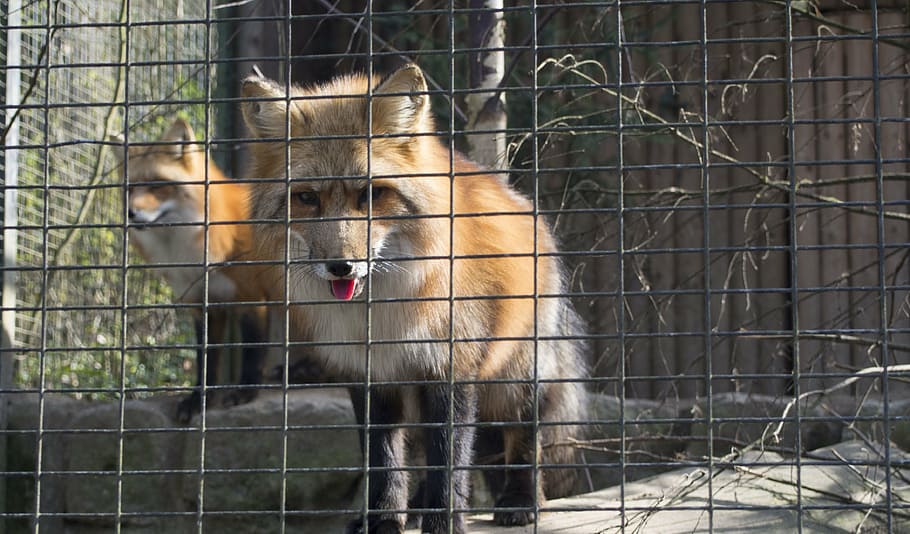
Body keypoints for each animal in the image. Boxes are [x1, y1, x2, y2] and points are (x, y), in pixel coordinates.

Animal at [115, 118, 271, 422]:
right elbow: (205, 360)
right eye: (130, 189)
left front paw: (246, 392)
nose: (130, 213)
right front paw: (199, 399)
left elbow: (252, 352)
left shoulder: (252, 297)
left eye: (157, 185)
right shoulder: (203, 303)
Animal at [240, 64, 588, 534]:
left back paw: (520, 500)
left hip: (517, 377)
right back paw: (420, 505)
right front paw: (385, 519)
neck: (383, 317)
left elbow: (450, 460)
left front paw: (445, 522)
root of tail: (523, 204)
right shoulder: (370, 374)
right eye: (308, 198)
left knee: (521, 439)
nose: (341, 267)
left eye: (371, 194)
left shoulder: (449, 369)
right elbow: (385, 460)